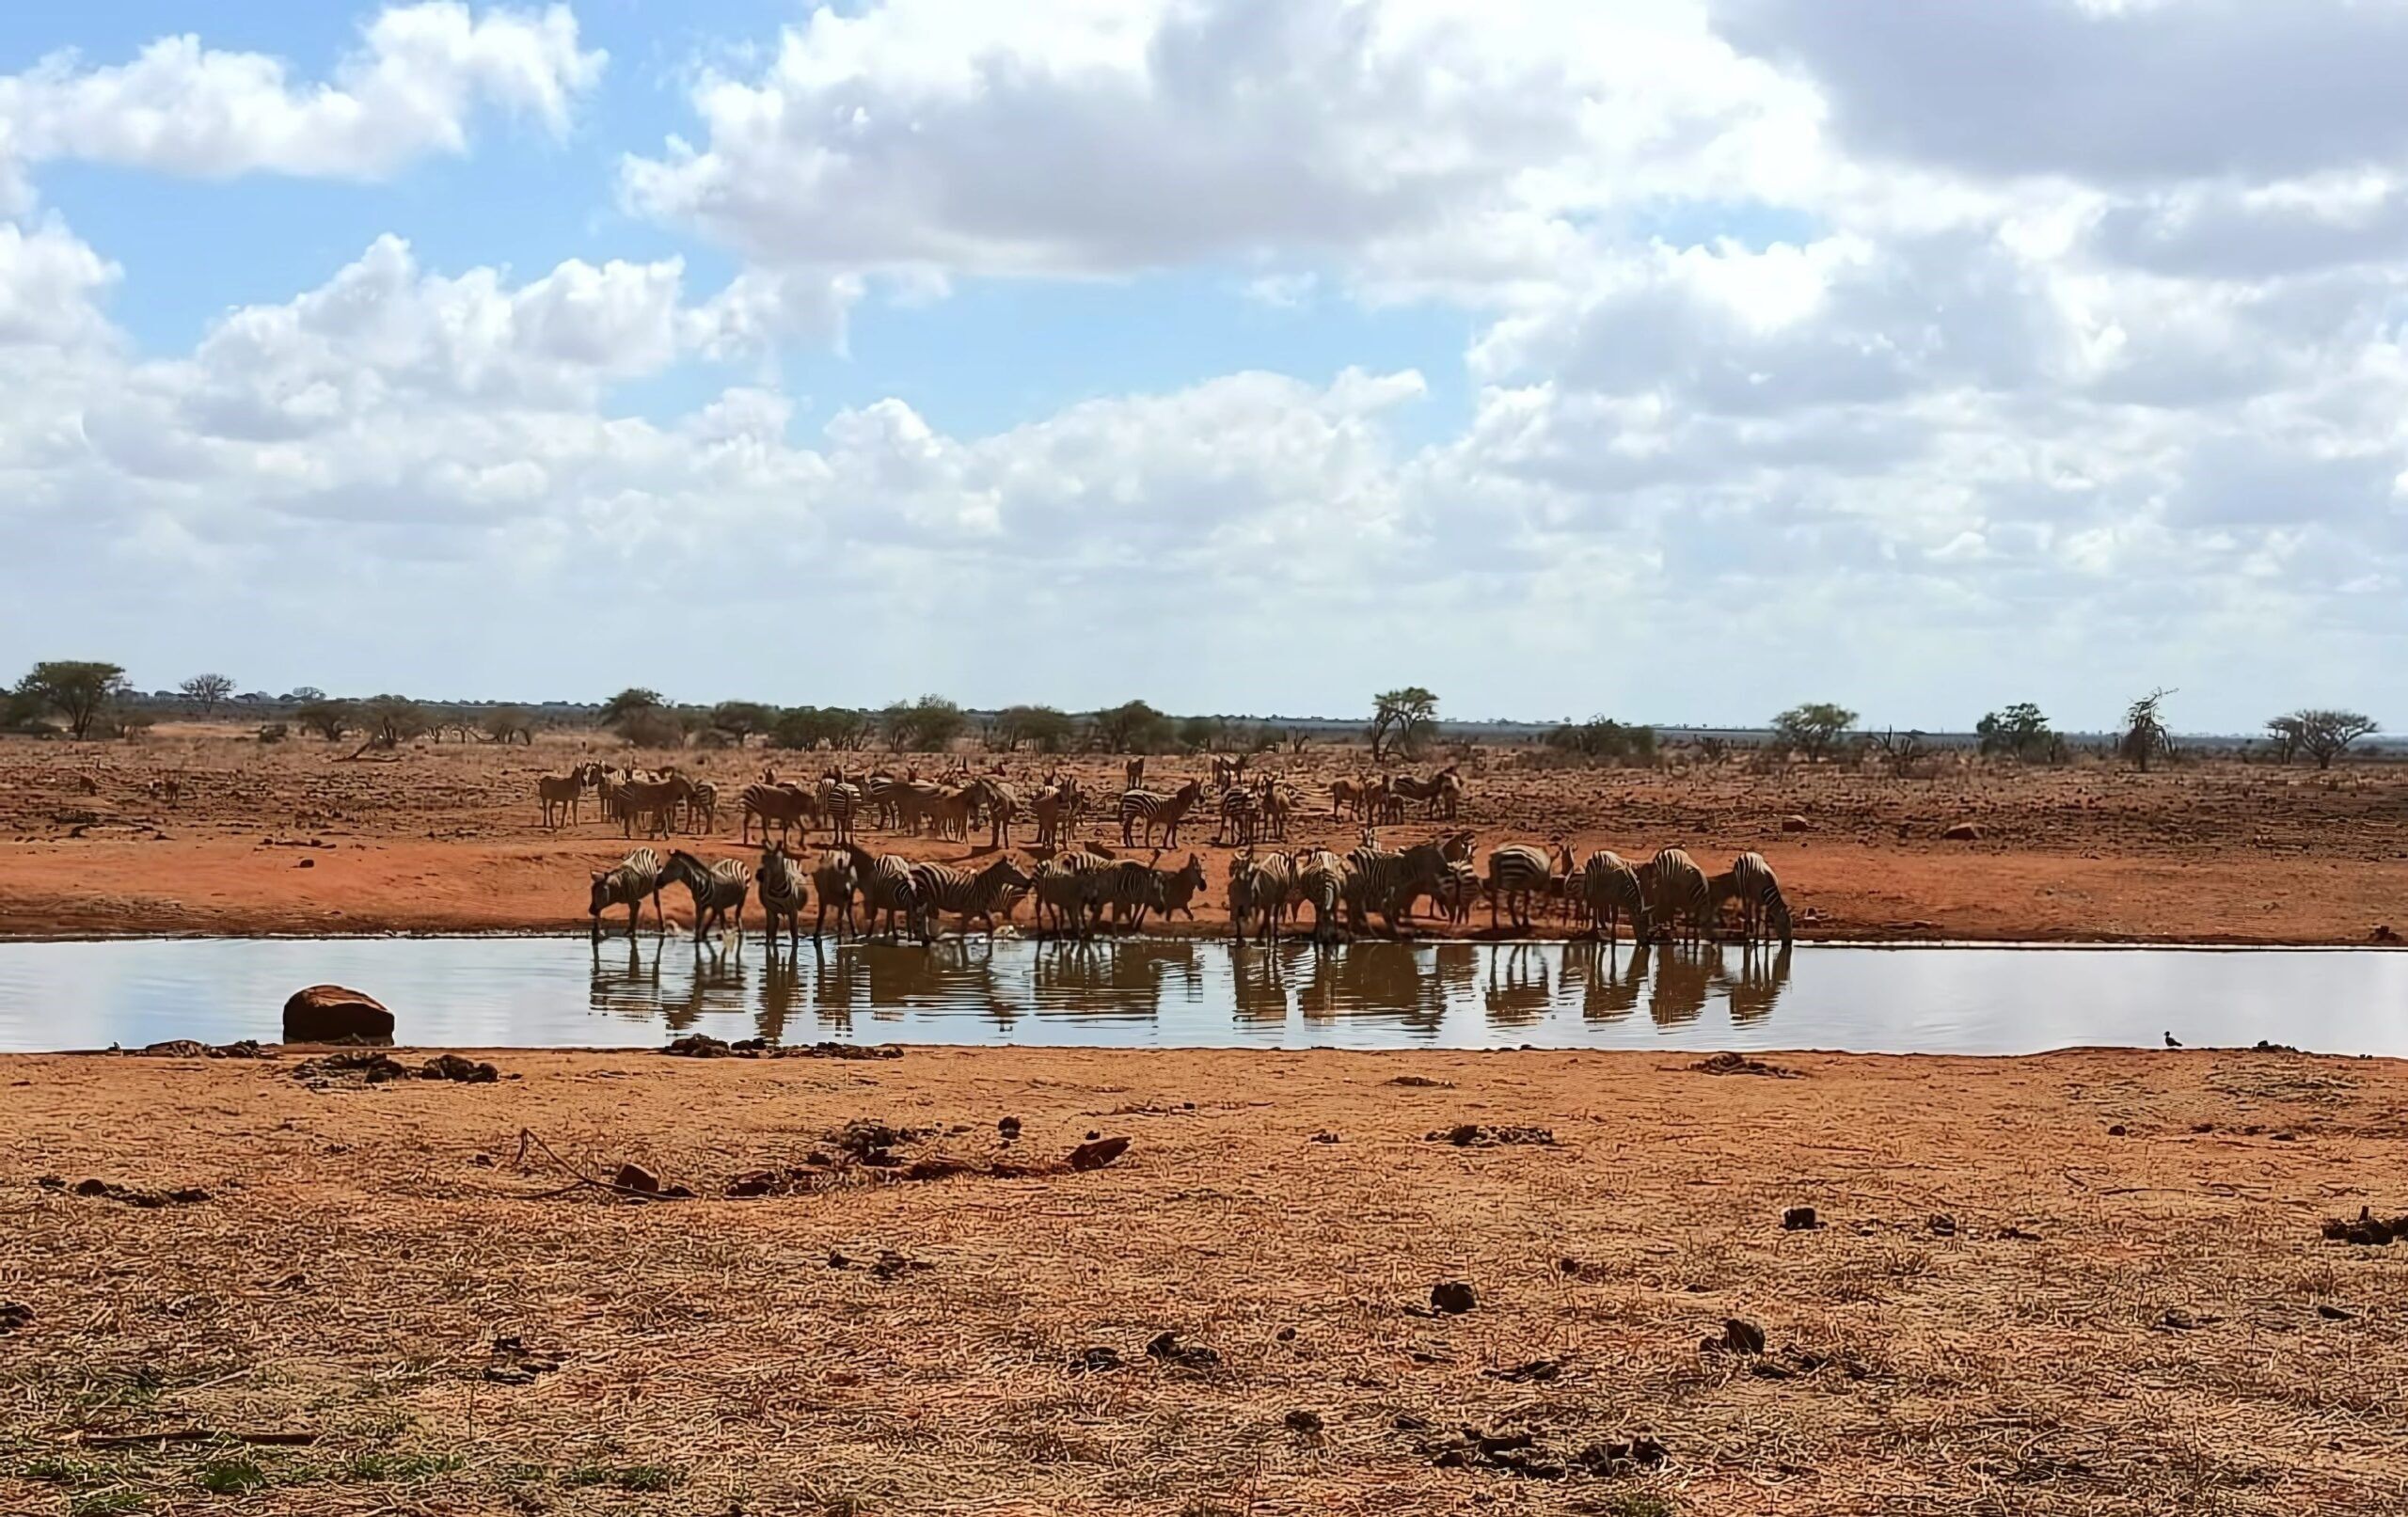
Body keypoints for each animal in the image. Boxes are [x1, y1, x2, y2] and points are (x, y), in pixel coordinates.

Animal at [900, 857, 1021, 939]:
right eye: (1014, 871)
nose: (1026, 884)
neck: (982, 889)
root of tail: (915, 866)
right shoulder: (968, 910)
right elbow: (964, 930)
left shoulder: (980, 910)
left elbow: (990, 924)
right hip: (923, 897)